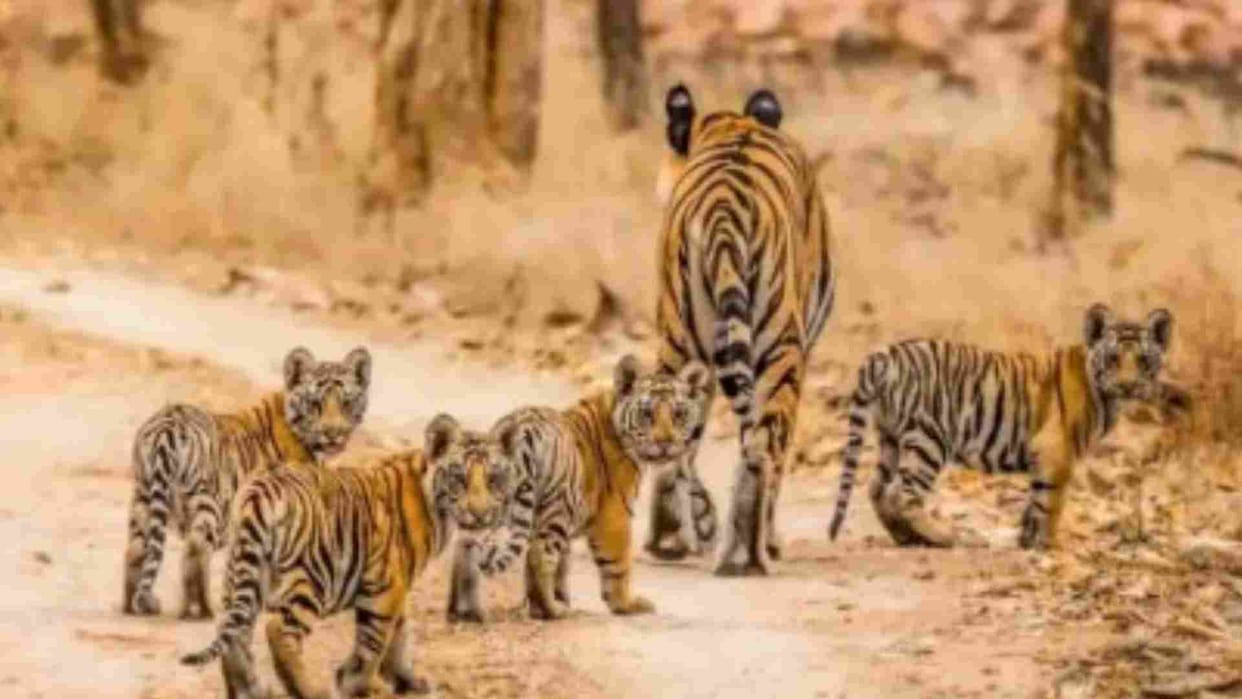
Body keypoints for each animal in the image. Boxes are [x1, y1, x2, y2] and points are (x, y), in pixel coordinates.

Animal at [123, 346, 371, 620]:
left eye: (346, 402)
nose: (333, 433)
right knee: (195, 552)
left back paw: (131, 607)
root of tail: (168, 425)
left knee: (136, 550)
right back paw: (200, 611)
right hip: (207, 503)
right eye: (315, 403)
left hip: (144, 497)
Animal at [180, 414, 515, 699]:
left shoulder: (396, 585)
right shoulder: (386, 586)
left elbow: (399, 634)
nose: (481, 514)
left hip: (241, 575)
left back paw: (251, 690)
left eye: (493, 479)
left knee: (234, 634)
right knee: (277, 630)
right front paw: (359, 684)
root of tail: (261, 491)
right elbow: (374, 642)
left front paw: (406, 681)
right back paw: (308, 690)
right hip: (311, 580)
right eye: (460, 479)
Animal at [445, 354, 711, 623]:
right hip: (555, 507)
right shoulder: (615, 514)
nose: (665, 442)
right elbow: (618, 563)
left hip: (483, 506)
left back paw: (462, 613)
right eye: (647, 414)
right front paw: (625, 604)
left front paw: (558, 599)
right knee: (538, 555)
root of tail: (523, 430)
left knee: (465, 548)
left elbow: (563, 564)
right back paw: (551, 611)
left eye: (679, 414)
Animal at [647, 84, 837, 576]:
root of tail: (724, 210)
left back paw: (685, 539)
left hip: (682, 342)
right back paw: (746, 550)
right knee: (763, 448)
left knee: (682, 443)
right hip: (780, 349)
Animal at [827, 304, 1176, 549]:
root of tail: (885, 353)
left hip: (890, 437)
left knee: (877, 487)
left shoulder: (1044, 458)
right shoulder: (1057, 452)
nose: (1129, 386)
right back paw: (945, 537)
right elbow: (1052, 504)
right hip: (929, 439)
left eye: (1143, 360)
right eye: (1114, 358)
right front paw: (1051, 545)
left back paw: (907, 537)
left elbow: (1035, 501)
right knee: (904, 494)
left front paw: (1028, 541)